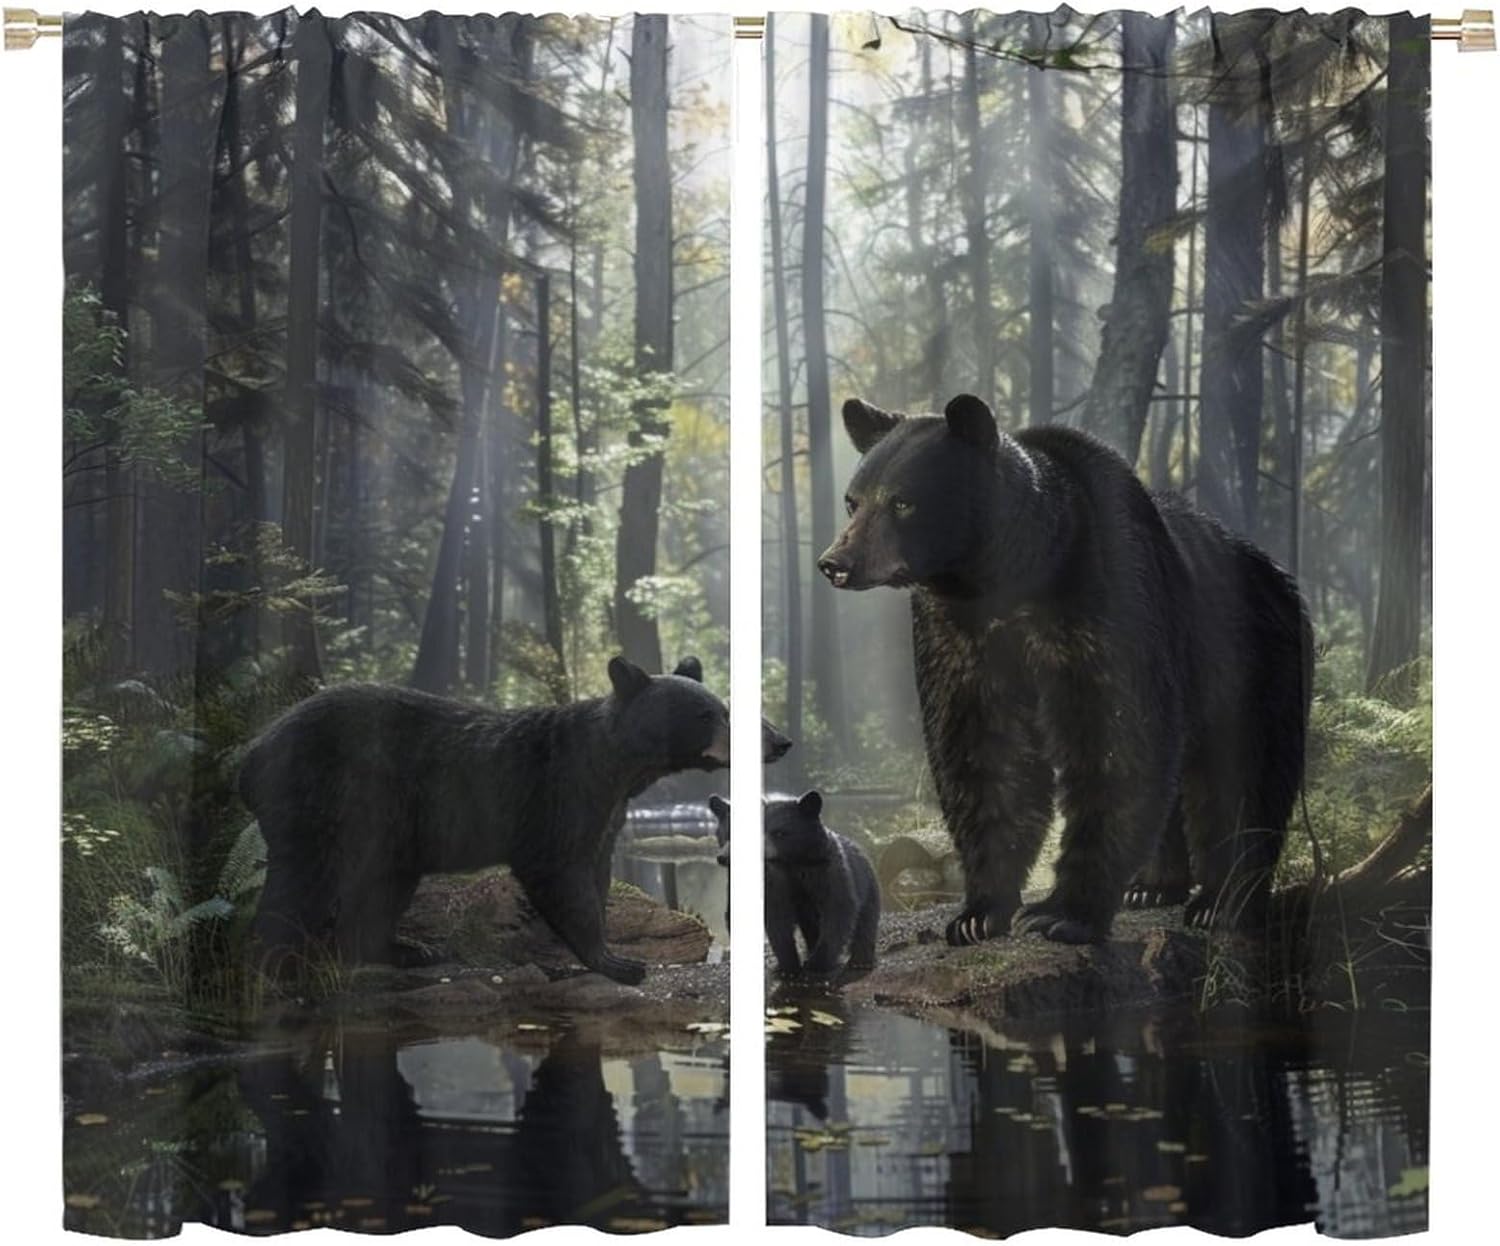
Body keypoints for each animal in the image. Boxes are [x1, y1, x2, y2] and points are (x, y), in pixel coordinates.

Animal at [240, 655, 729, 985]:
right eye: (706, 714)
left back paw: (410, 950)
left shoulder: (607, 813)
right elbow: (558, 871)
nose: (758, 738)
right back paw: (274, 967)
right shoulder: (557, 795)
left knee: (380, 891)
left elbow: (597, 869)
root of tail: (253, 750)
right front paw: (618, 961)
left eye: (723, 708)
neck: (617, 769)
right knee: (300, 886)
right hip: (319, 800)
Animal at [763, 791, 880, 976]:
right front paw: (788, 967)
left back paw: (861, 961)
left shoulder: (828, 871)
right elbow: (778, 916)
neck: (794, 862)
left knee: (866, 922)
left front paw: (817, 964)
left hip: (868, 887)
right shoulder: (776, 879)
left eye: (780, 833)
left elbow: (838, 909)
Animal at [818, 393, 1313, 945]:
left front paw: (1062, 911)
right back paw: (1152, 886)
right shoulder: (958, 635)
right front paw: (978, 913)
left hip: (1255, 663)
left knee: (1245, 773)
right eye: (853, 500)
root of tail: (1278, 574)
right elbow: (984, 749)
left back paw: (1220, 900)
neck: (1013, 574)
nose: (836, 562)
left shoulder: (1109, 601)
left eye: (903, 502)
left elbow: (1114, 740)